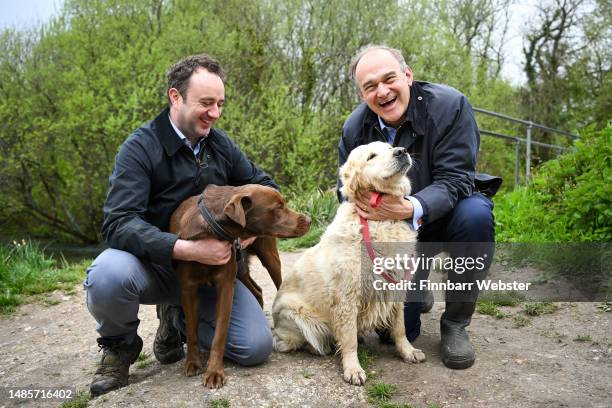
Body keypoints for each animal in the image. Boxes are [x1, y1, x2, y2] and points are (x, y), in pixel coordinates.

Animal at [169, 183, 308, 388]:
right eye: (278, 207)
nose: (309, 219)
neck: (212, 229)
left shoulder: (226, 286)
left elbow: (219, 334)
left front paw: (214, 372)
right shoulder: (188, 289)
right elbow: (192, 332)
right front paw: (193, 363)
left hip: (267, 256)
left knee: (278, 283)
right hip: (240, 268)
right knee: (257, 290)